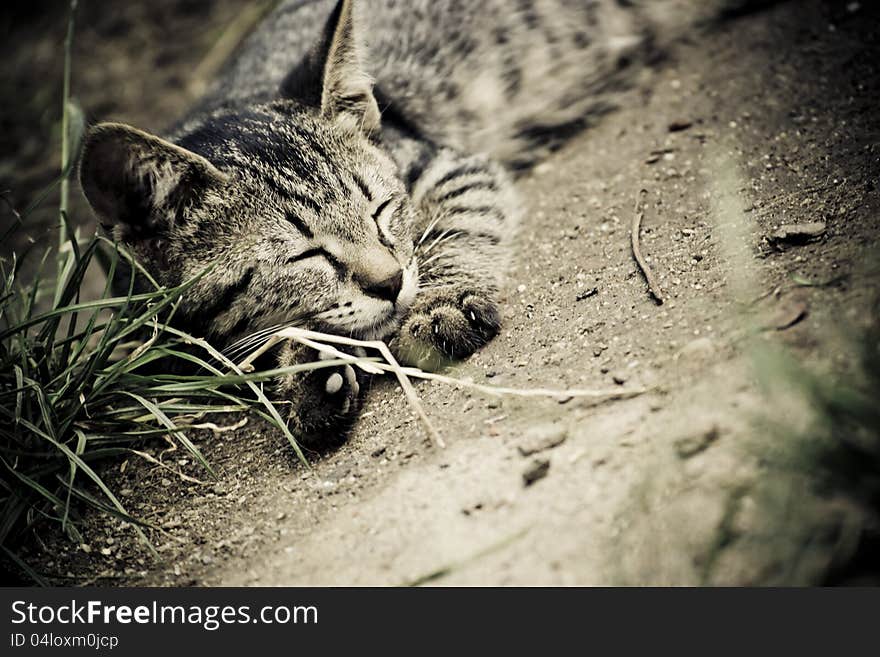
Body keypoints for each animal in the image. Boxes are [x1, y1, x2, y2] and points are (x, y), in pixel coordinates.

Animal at [81, 0, 768, 446]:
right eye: (304, 256)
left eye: (382, 211)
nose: (388, 283)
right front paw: (307, 370)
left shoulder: (447, 164)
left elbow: (449, 229)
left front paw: (438, 300)